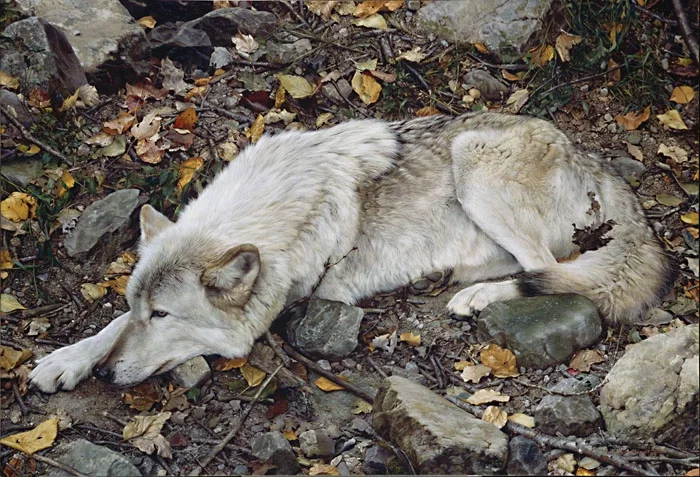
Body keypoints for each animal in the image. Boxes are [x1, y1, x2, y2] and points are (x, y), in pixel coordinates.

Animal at [29, 112, 675, 393]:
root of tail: (593, 158)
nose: (106, 375)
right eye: (138, 307)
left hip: (472, 161)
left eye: (164, 315)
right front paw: (68, 359)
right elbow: (106, 328)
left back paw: (476, 297)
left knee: (549, 268)